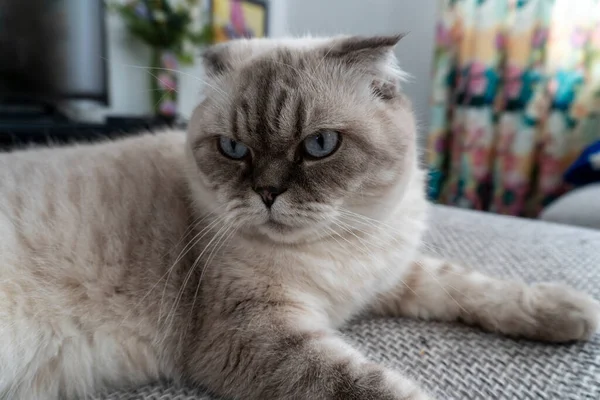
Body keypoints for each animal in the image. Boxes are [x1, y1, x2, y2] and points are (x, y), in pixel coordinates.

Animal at [1, 35, 600, 400]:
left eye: (319, 145)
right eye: (233, 149)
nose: (267, 192)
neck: (341, 250)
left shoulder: (388, 275)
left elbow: (469, 285)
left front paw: (566, 311)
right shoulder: (259, 334)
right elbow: (375, 386)